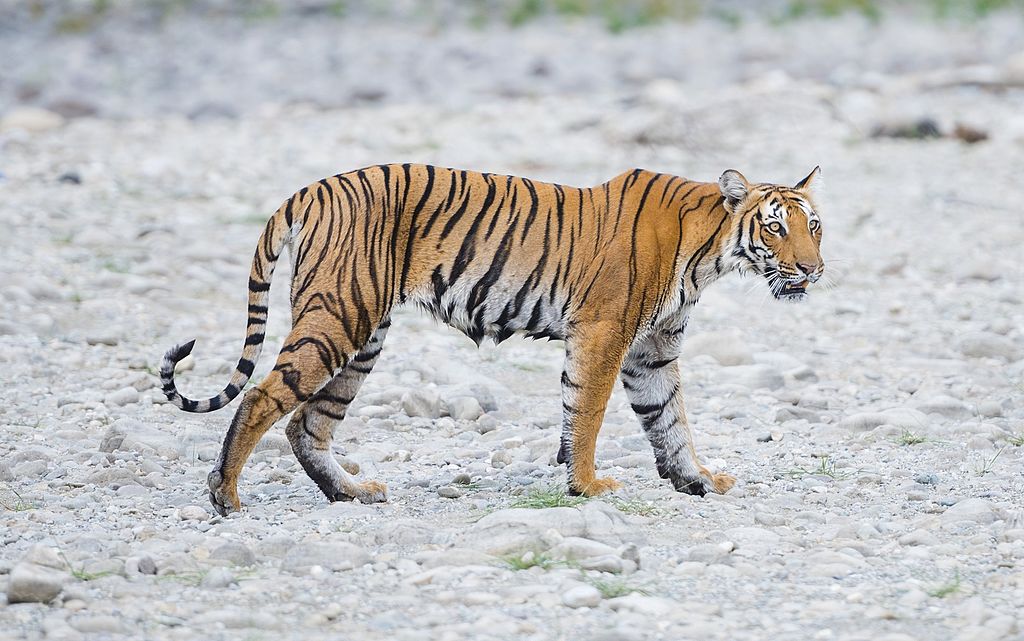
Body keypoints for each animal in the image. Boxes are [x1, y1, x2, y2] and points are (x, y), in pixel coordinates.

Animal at [161, 163, 831, 514]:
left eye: (815, 226)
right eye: (775, 229)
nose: (813, 268)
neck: (710, 254)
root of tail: (311, 188)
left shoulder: (653, 350)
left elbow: (670, 419)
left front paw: (697, 479)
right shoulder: (605, 333)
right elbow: (589, 413)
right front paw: (588, 485)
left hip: (363, 336)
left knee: (308, 423)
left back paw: (351, 492)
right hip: (339, 316)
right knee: (263, 398)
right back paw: (225, 496)